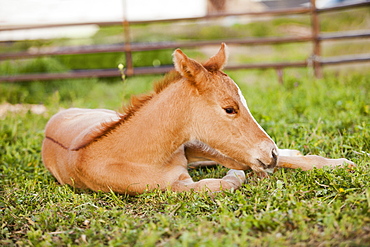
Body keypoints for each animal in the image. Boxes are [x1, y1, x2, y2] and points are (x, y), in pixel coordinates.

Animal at [42, 44, 354, 195]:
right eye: (229, 109)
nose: (271, 153)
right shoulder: (170, 189)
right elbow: (219, 184)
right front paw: (236, 176)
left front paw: (334, 164)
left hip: (196, 147)